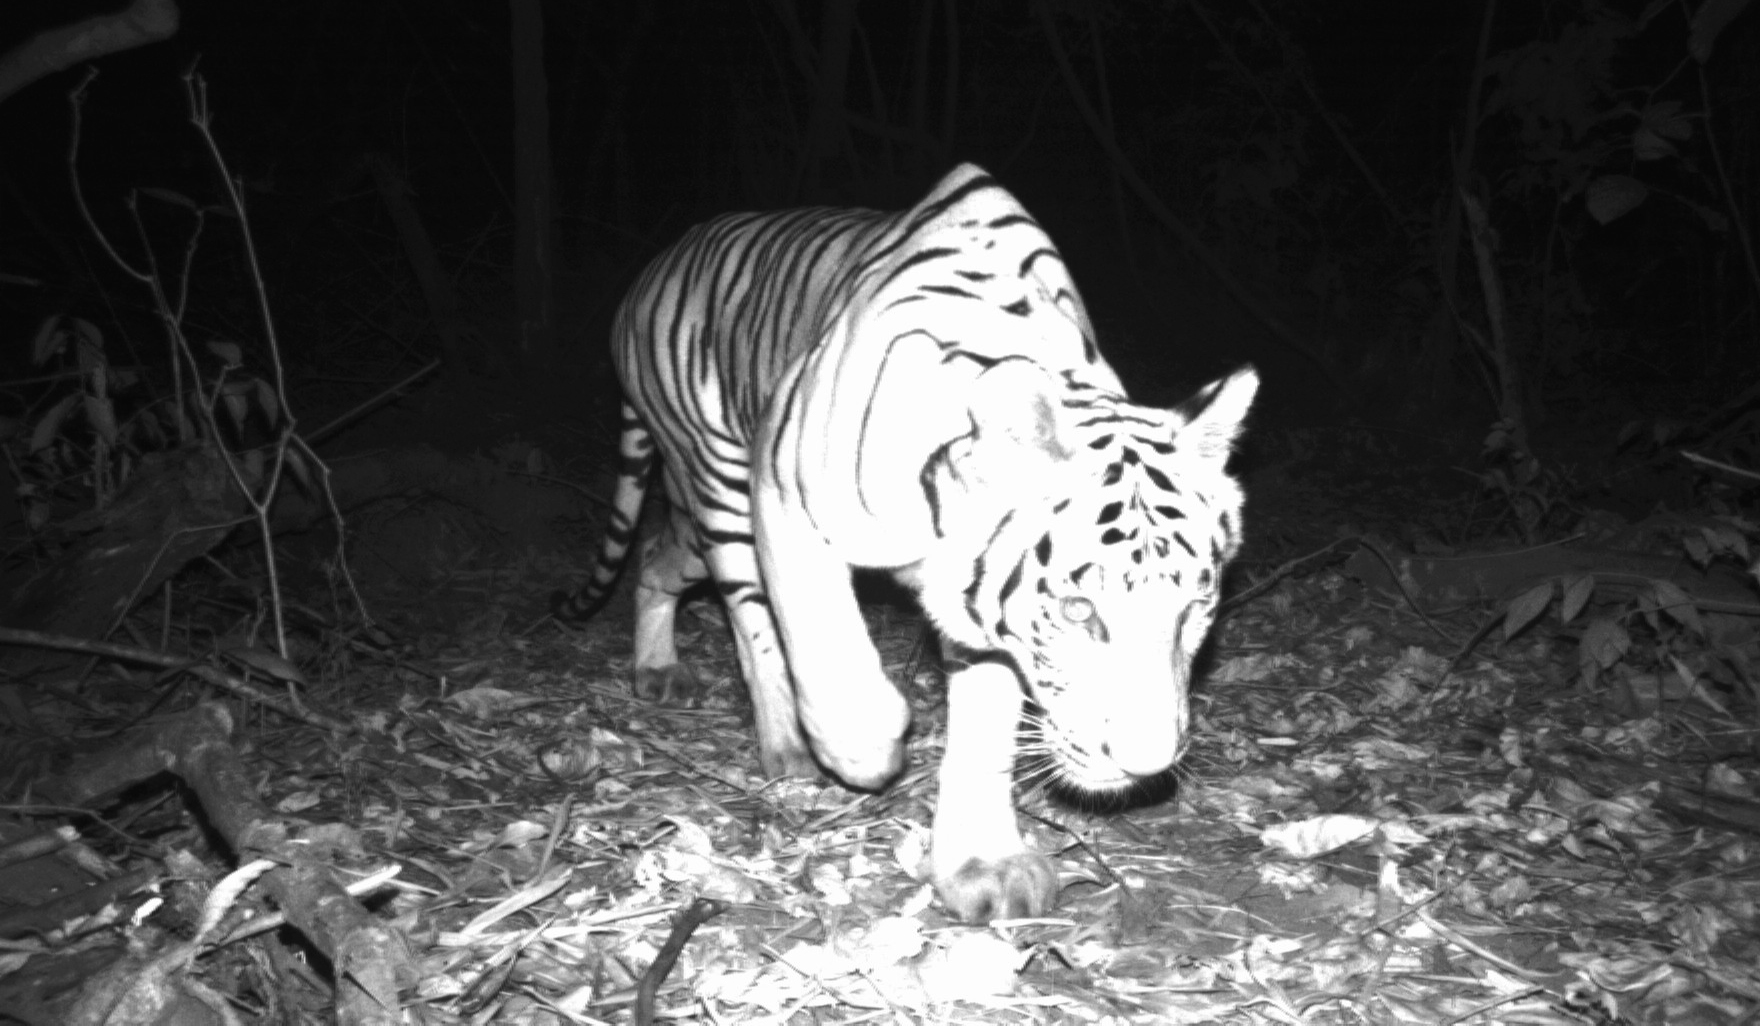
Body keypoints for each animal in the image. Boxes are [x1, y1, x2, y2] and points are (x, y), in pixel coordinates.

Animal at [554, 163, 1257, 923]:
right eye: (1079, 612)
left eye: (1196, 608)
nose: (1147, 763)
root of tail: (663, 260)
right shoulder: (783, 494)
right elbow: (827, 653)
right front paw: (870, 747)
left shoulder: (986, 612)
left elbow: (985, 733)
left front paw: (985, 865)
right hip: (719, 482)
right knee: (749, 619)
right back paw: (783, 744)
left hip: (691, 513)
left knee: (658, 553)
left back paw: (658, 667)